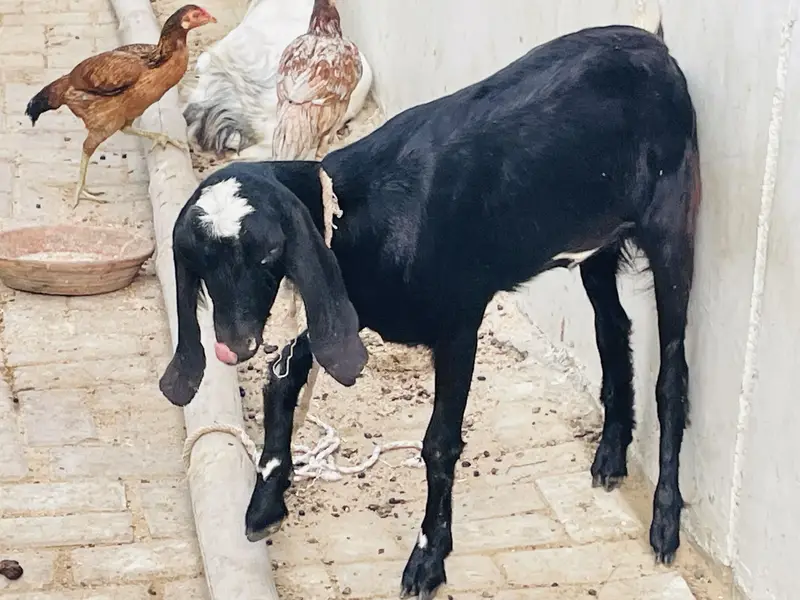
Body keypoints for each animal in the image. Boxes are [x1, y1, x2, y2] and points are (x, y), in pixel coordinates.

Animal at [160, 14, 701, 600]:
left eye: (267, 253)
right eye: (200, 260)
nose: (234, 345)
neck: (364, 210)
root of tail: (655, 45)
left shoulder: (459, 321)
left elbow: (439, 444)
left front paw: (427, 558)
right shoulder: (351, 309)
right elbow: (284, 379)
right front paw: (263, 505)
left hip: (673, 221)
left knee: (673, 369)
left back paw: (665, 520)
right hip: (596, 238)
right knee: (612, 326)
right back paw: (610, 455)